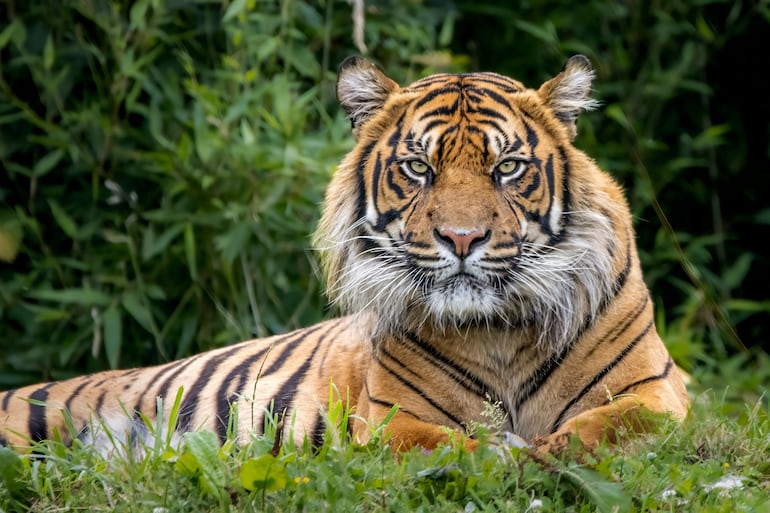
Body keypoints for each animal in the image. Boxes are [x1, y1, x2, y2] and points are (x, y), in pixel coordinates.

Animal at [0, 56, 688, 456]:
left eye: (507, 168)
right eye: (419, 168)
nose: (462, 239)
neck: (498, 331)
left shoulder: (658, 395)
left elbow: (609, 427)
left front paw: (549, 449)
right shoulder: (393, 419)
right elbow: (451, 447)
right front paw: (508, 452)